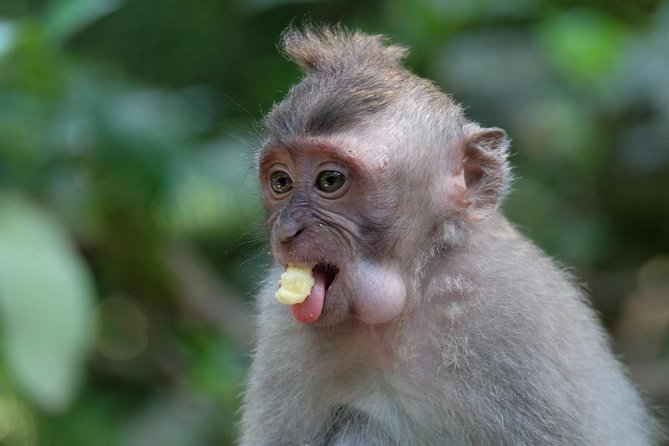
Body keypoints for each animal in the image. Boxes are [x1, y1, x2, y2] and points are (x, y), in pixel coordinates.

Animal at [240, 25, 662, 445]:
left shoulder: (511, 312)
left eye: (330, 180)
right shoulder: (282, 329)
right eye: (281, 182)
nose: (288, 230)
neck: (400, 307)